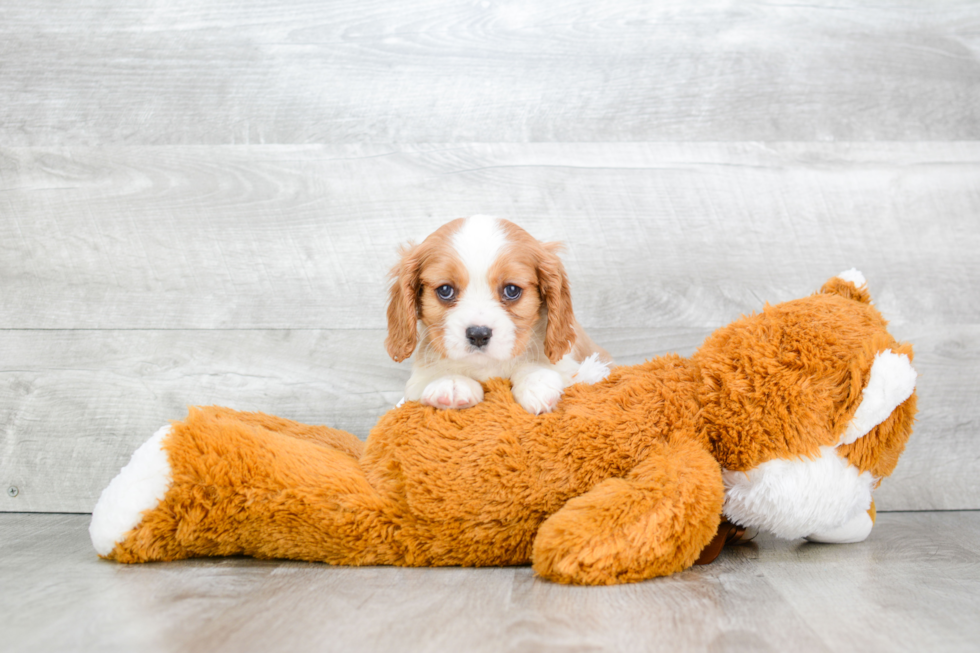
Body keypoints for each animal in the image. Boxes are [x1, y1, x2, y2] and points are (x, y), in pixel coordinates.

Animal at [384, 216, 608, 416]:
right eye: (445, 290)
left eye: (511, 290)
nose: (478, 334)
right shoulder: (414, 386)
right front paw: (451, 382)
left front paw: (535, 382)